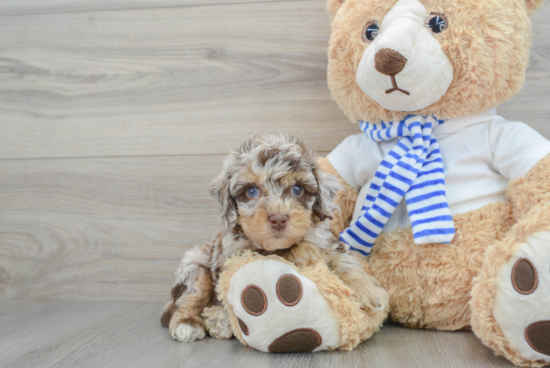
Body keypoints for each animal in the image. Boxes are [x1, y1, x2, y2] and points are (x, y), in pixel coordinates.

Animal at [162, 134, 390, 342]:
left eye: (297, 190)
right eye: (251, 191)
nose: (278, 219)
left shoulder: (328, 241)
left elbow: (345, 262)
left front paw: (371, 292)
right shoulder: (237, 252)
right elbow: (275, 251)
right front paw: (305, 250)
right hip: (195, 267)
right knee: (188, 300)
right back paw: (193, 323)